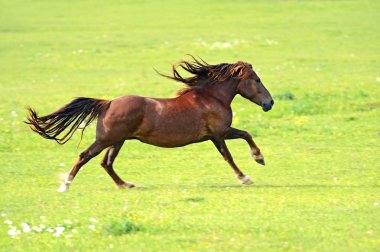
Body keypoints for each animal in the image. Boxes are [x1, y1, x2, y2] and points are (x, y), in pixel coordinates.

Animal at [24, 56, 274, 192]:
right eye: (257, 79)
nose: (269, 103)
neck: (210, 97)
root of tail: (107, 103)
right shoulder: (219, 133)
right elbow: (238, 143)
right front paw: (252, 168)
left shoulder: (215, 135)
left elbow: (238, 143)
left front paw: (254, 164)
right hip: (107, 139)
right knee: (85, 156)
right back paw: (65, 184)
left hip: (118, 141)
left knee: (106, 163)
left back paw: (126, 185)